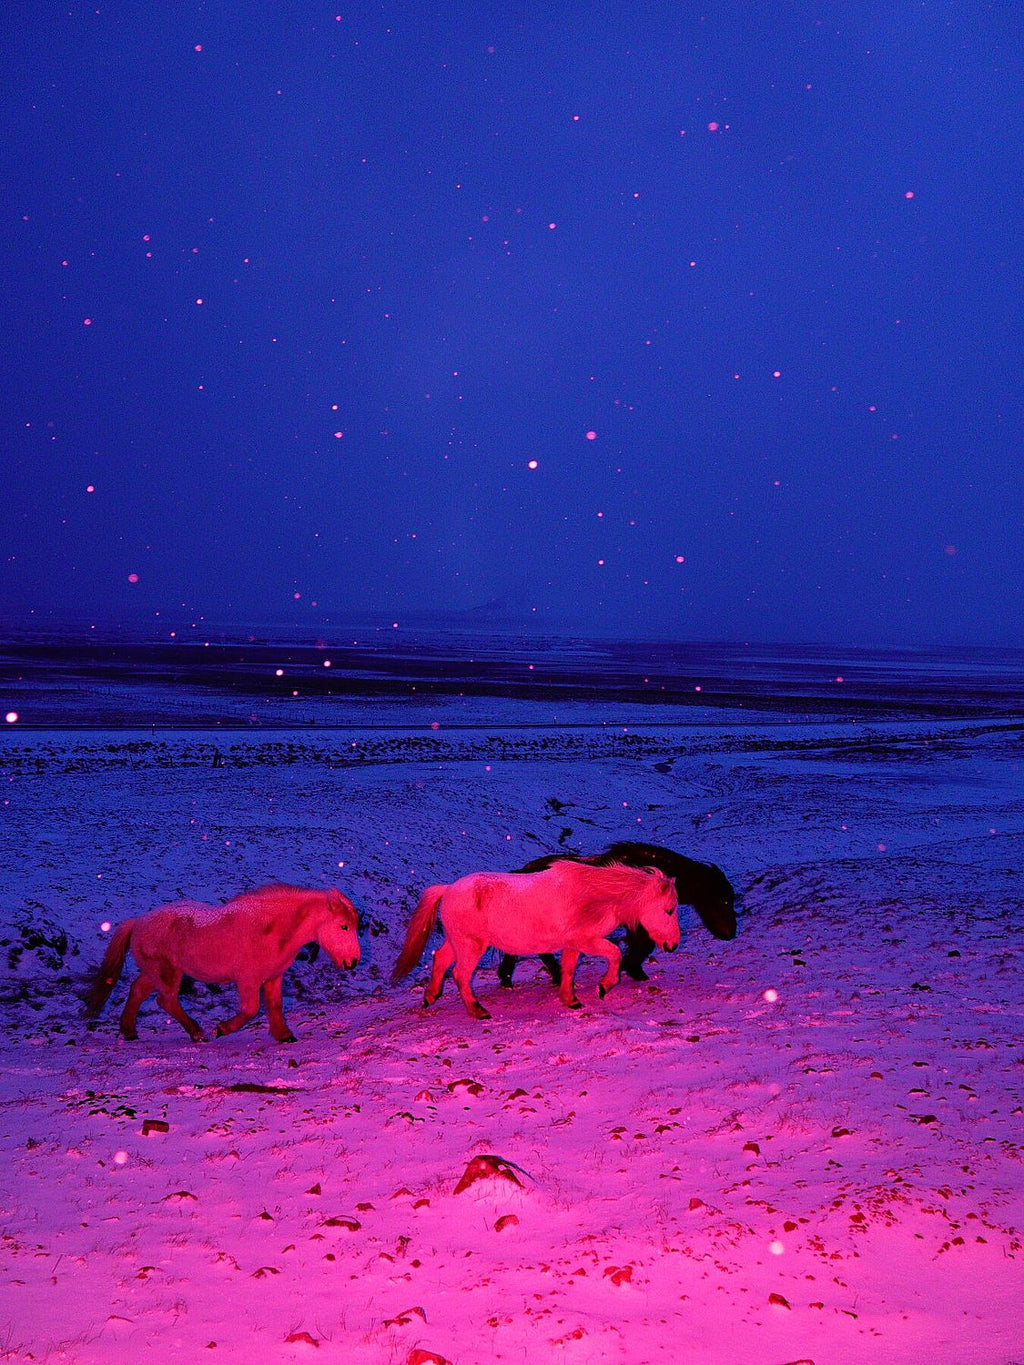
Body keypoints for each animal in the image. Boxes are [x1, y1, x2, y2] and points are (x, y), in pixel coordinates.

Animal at [84, 884, 360, 1043]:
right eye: (343, 926)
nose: (353, 961)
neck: (270, 929)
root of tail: (138, 921)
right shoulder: (248, 980)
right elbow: (250, 1009)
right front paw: (223, 1029)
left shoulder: (273, 978)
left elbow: (274, 1006)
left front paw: (284, 1036)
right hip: (166, 972)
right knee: (166, 1000)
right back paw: (197, 1033)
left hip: (155, 972)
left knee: (138, 992)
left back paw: (129, 1031)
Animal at [391, 861, 679, 1019]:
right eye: (669, 910)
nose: (674, 944)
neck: (592, 895)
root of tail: (448, 889)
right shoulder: (587, 941)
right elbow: (615, 955)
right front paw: (603, 987)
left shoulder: (573, 945)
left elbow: (568, 970)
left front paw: (570, 1000)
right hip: (471, 946)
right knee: (461, 975)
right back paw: (477, 1011)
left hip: (458, 942)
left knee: (440, 960)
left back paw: (430, 997)